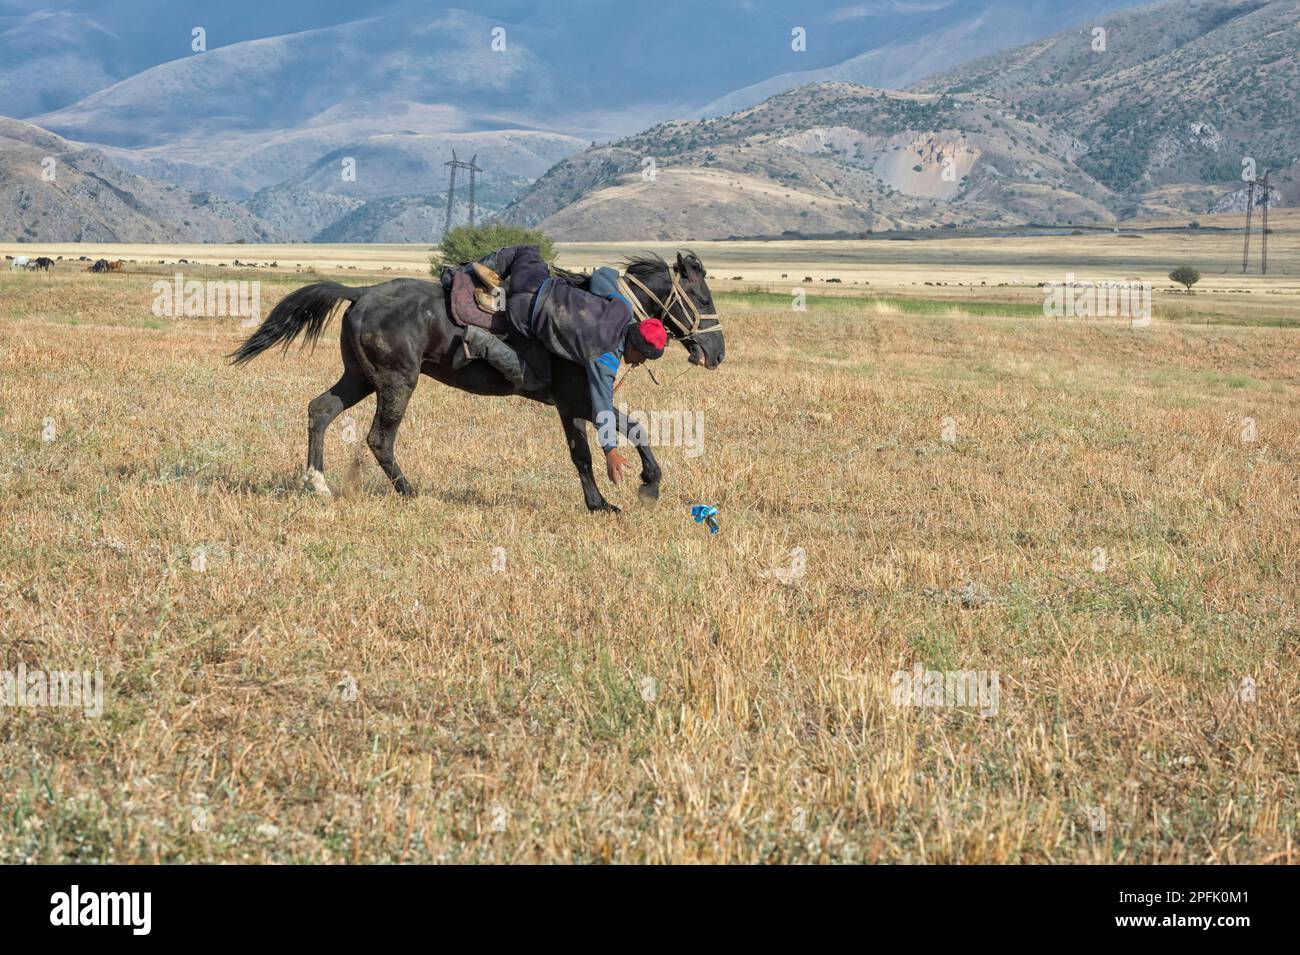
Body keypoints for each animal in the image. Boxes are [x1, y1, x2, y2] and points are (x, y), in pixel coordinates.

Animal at [231, 250, 722, 511]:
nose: (717, 353)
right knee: (379, 438)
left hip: (361, 377)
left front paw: (599, 504)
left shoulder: (568, 405)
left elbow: (581, 454)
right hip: (396, 382)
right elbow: (632, 427)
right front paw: (648, 483)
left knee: (321, 410)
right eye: (701, 298)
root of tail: (362, 293)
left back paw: (317, 482)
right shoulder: (581, 397)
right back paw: (409, 492)